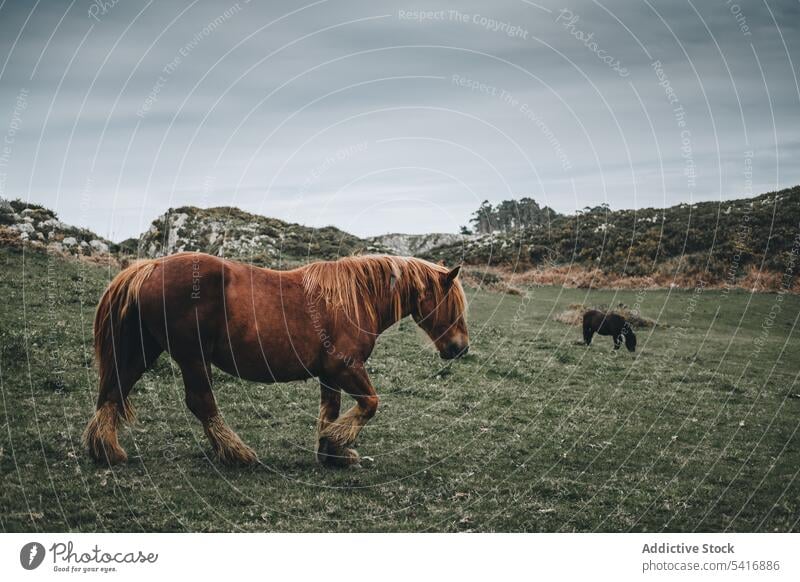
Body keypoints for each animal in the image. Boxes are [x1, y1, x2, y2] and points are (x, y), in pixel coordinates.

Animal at [83, 254, 468, 470]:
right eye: (451, 301)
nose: (460, 348)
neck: (355, 298)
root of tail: (151, 267)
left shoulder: (330, 374)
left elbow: (331, 409)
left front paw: (332, 452)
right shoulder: (346, 367)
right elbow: (370, 403)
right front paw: (337, 442)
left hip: (144, 350)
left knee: (115, 390)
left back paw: (105, 450)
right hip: (192, 357)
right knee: (201, 402)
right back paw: (238, 453)